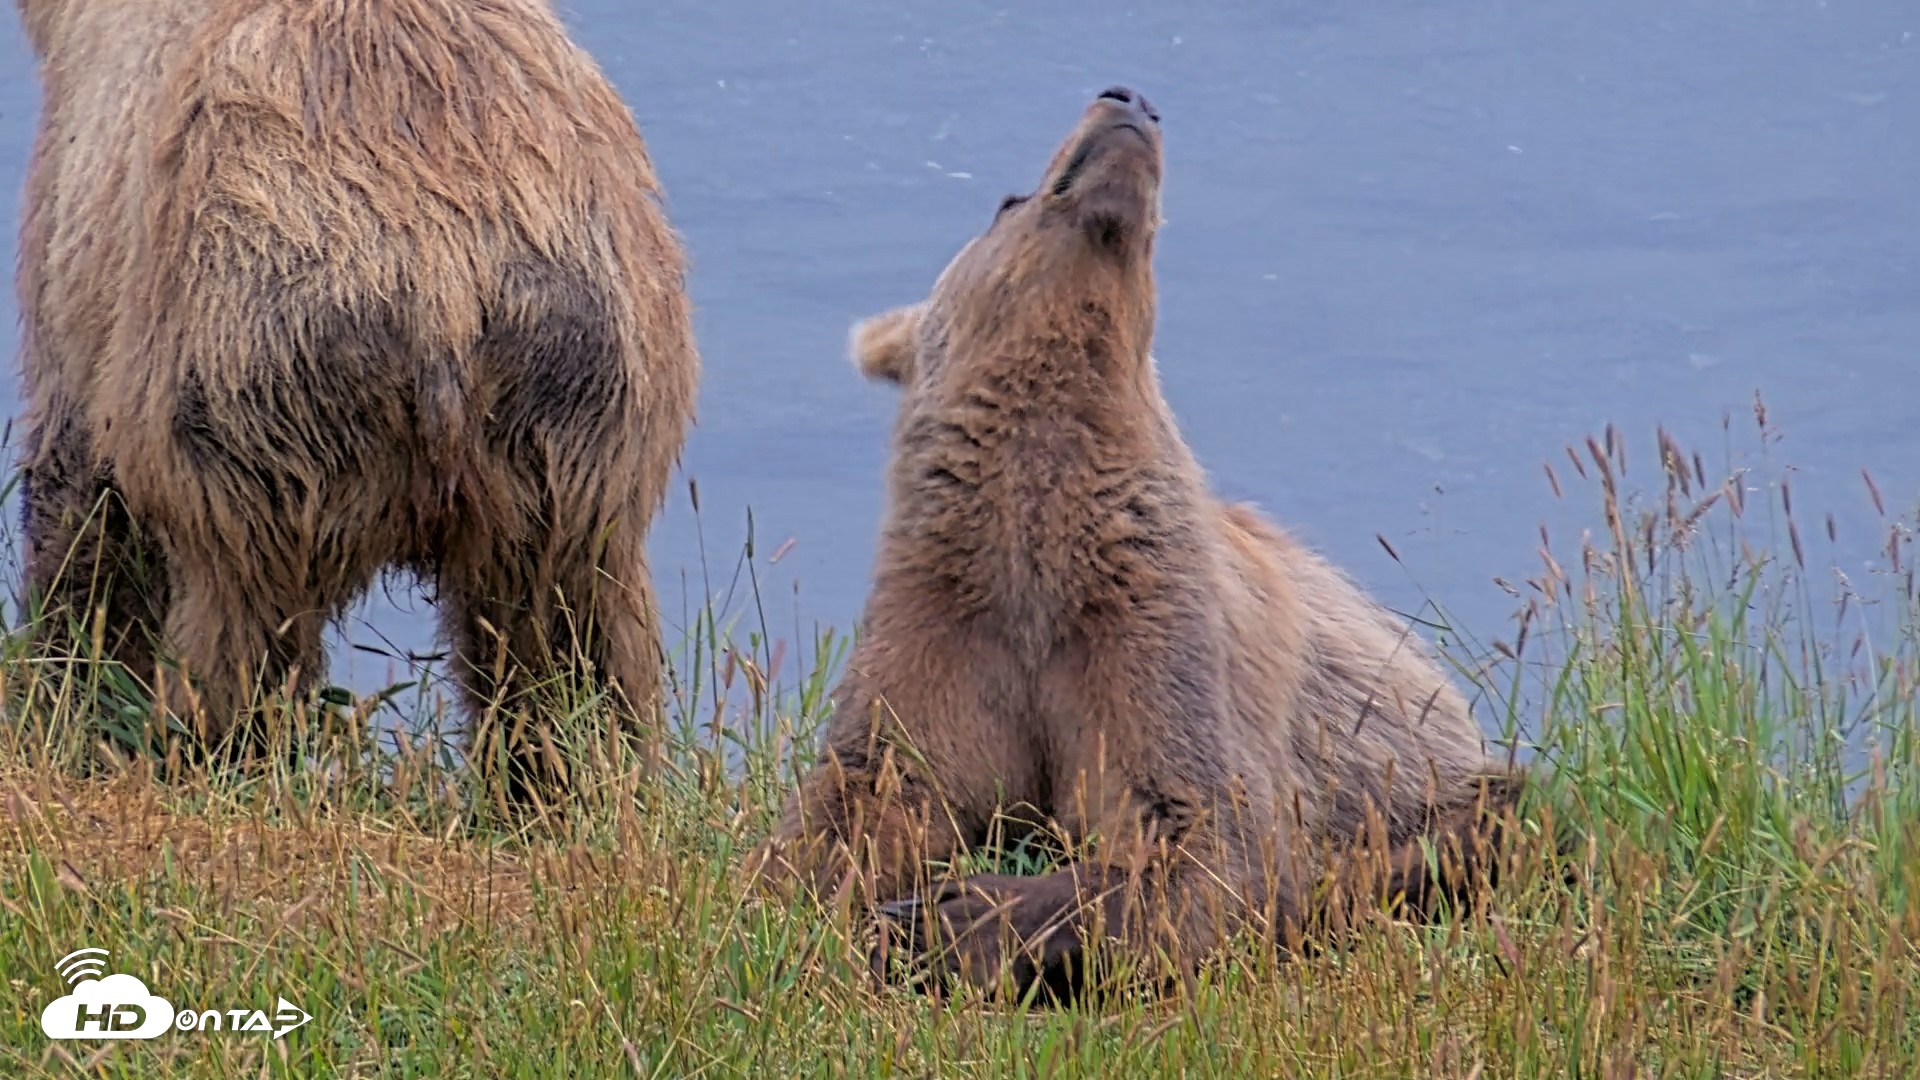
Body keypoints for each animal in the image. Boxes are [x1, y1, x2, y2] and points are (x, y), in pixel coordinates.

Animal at [12, 0, 699, 802]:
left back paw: (204, 757)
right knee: (565, 629)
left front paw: (65, 701)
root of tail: (443, 287)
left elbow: (82, 498)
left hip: (260, 373)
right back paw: (569, 787)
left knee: (242, 620)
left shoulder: (92, 220)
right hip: (576, 388)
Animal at [749, 86, 1525, 1002]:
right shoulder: (948, 618)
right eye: (1007, 199)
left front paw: (951, 914)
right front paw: (829, 900)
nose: (1126, 100)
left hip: (1432, 760)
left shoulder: (1151, 623)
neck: (1036, 541)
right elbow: (867, 787)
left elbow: (1202, 828)